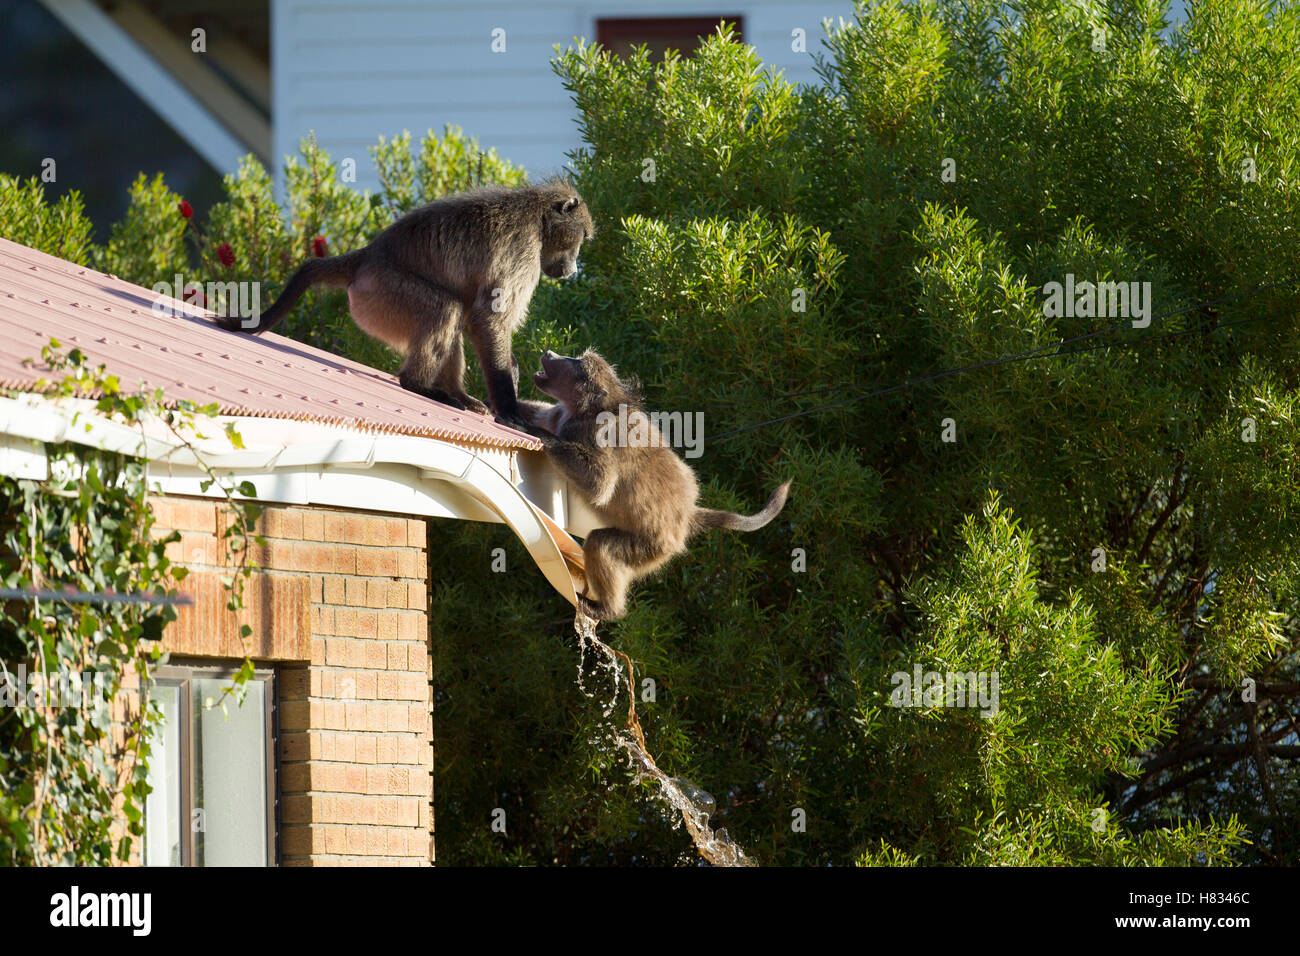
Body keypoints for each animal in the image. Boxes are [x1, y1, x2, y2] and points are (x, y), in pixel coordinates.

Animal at [213, 182, 593, 423]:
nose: (573, 269)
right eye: (581, 239)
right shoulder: (522, 252)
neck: (538, 217)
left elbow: (483, 321)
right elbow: (488, 319)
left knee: (455, 313)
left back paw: (457, 394)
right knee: (447, 310)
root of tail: (366, 257)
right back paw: (419, 385)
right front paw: (509, 407)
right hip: (382, 292)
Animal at [517, 349, 792, 621]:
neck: (592, 409)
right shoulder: (561, 416)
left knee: (600, 544)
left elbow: (599, 485)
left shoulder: (597, 432)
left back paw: (607, 609)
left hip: (651, 548)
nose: (550, 353)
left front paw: (536, 433)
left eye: (577, 363)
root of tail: (686, 516)